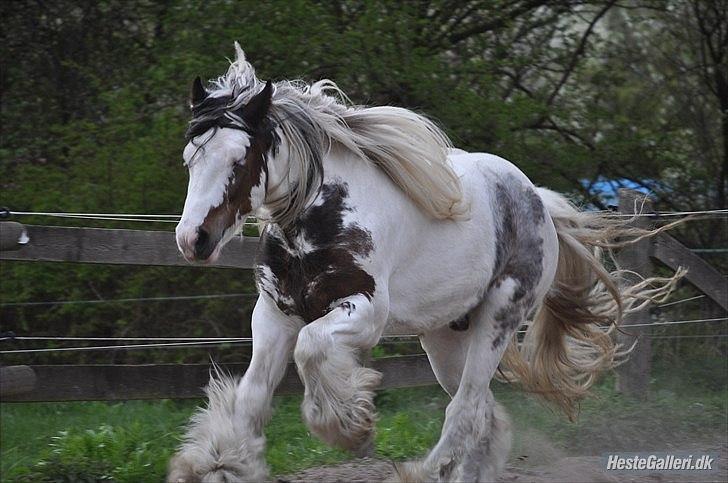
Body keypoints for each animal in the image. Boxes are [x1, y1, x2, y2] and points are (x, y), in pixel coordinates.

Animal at [168, 43, 680, 482]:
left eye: (240, 160)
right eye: (190, 157)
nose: (193, 239)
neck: (322, 217)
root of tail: (537, 202)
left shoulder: (364, 311)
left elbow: (311, 349)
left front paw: (348, 427)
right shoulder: (275, 314)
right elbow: (251, 396)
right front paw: (218, 465)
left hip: (498, 319)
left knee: (466, 409)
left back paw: (424, 471)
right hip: (444, 339)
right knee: (485, 414)